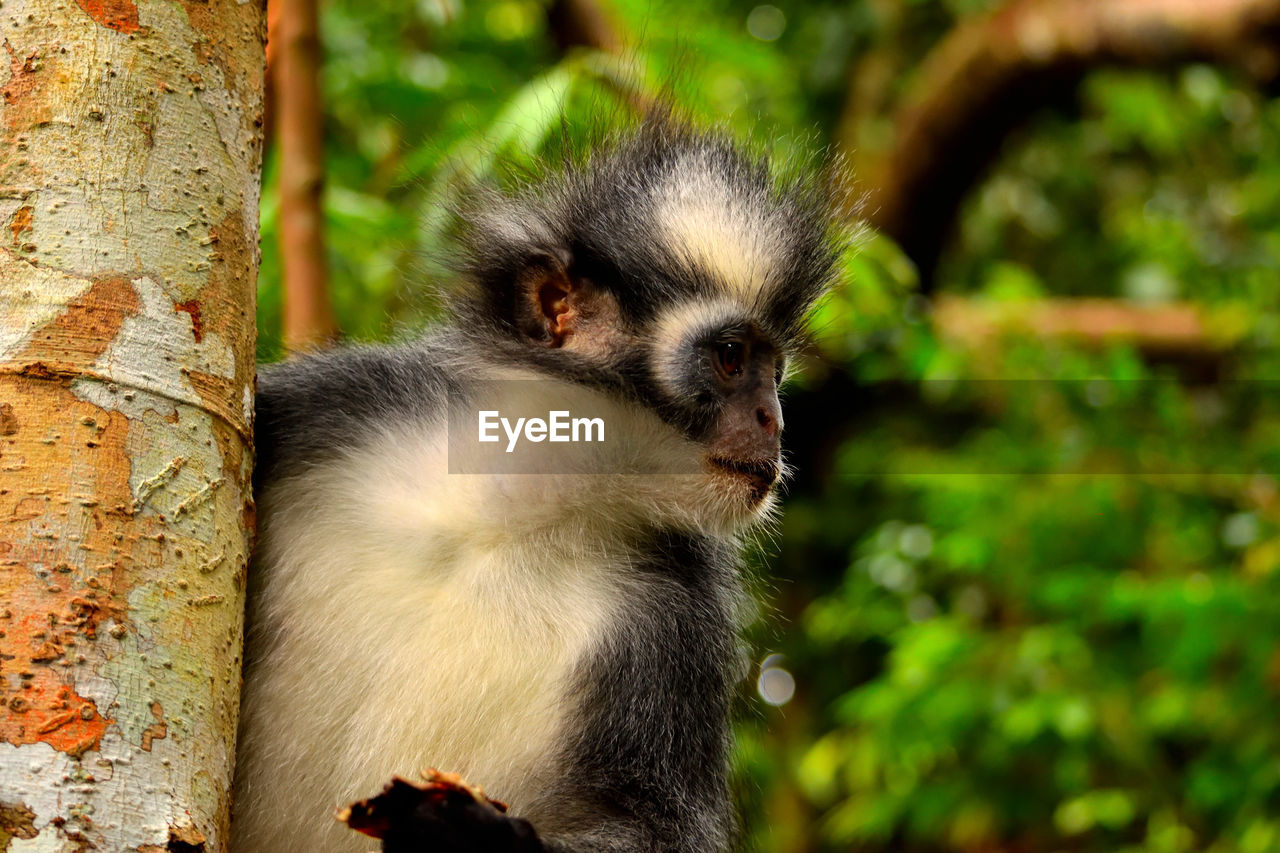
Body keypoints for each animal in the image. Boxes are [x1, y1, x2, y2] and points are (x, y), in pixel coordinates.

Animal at [232, 119, 839, 850]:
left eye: (775, 372)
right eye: (731, 358)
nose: (774, 420)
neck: (513, 510)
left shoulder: (676, 612)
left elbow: (655, 825)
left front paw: (475, 833)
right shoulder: (348, 404)